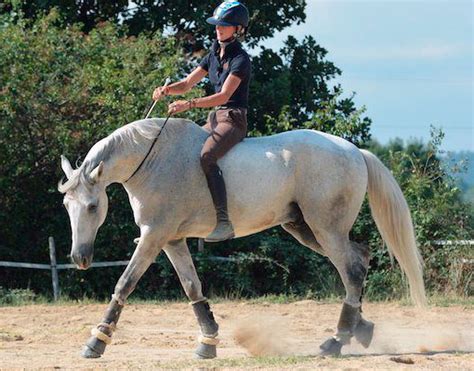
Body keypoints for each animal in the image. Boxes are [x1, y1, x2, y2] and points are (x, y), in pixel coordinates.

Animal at [59, 117, 426, 358]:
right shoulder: (171, 240)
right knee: (359, 261)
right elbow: (193, 287)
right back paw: (360, 329)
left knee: (350, 270)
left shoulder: (153, 236)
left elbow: (125, 283)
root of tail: (354, 151)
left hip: (326, 229)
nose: (80, 258)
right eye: (66, 205)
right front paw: (207, 343)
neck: (152, 160)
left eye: (92, 206)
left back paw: (336, 340)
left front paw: (97, 341)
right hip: (306, 229)